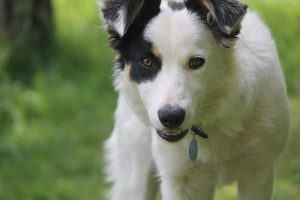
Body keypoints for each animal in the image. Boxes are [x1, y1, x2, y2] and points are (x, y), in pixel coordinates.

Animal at [99, 0, 290, 199]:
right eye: (147, 62)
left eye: (196, 62)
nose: (171, 118)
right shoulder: (180, 179)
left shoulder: (259, 170)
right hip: (134, 173)